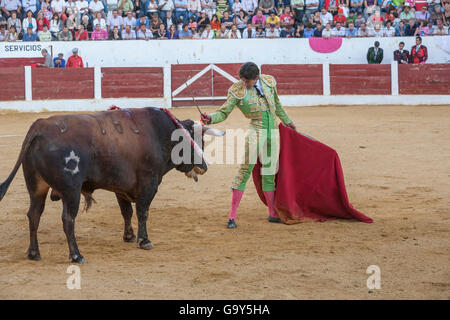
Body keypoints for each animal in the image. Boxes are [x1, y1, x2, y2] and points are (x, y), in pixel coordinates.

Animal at [0, 107, 221, 262]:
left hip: (37, 187)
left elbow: (127, 212)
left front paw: (129, 236)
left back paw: (34, 253)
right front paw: (144, 241)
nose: (204, 167)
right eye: (197, 140)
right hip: (71, 191)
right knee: (68, 219)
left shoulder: (120, 187)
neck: (161, 133)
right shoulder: (149, 183)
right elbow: (142, 211)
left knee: (34, 215)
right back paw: (76, 255)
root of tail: (39, 126)